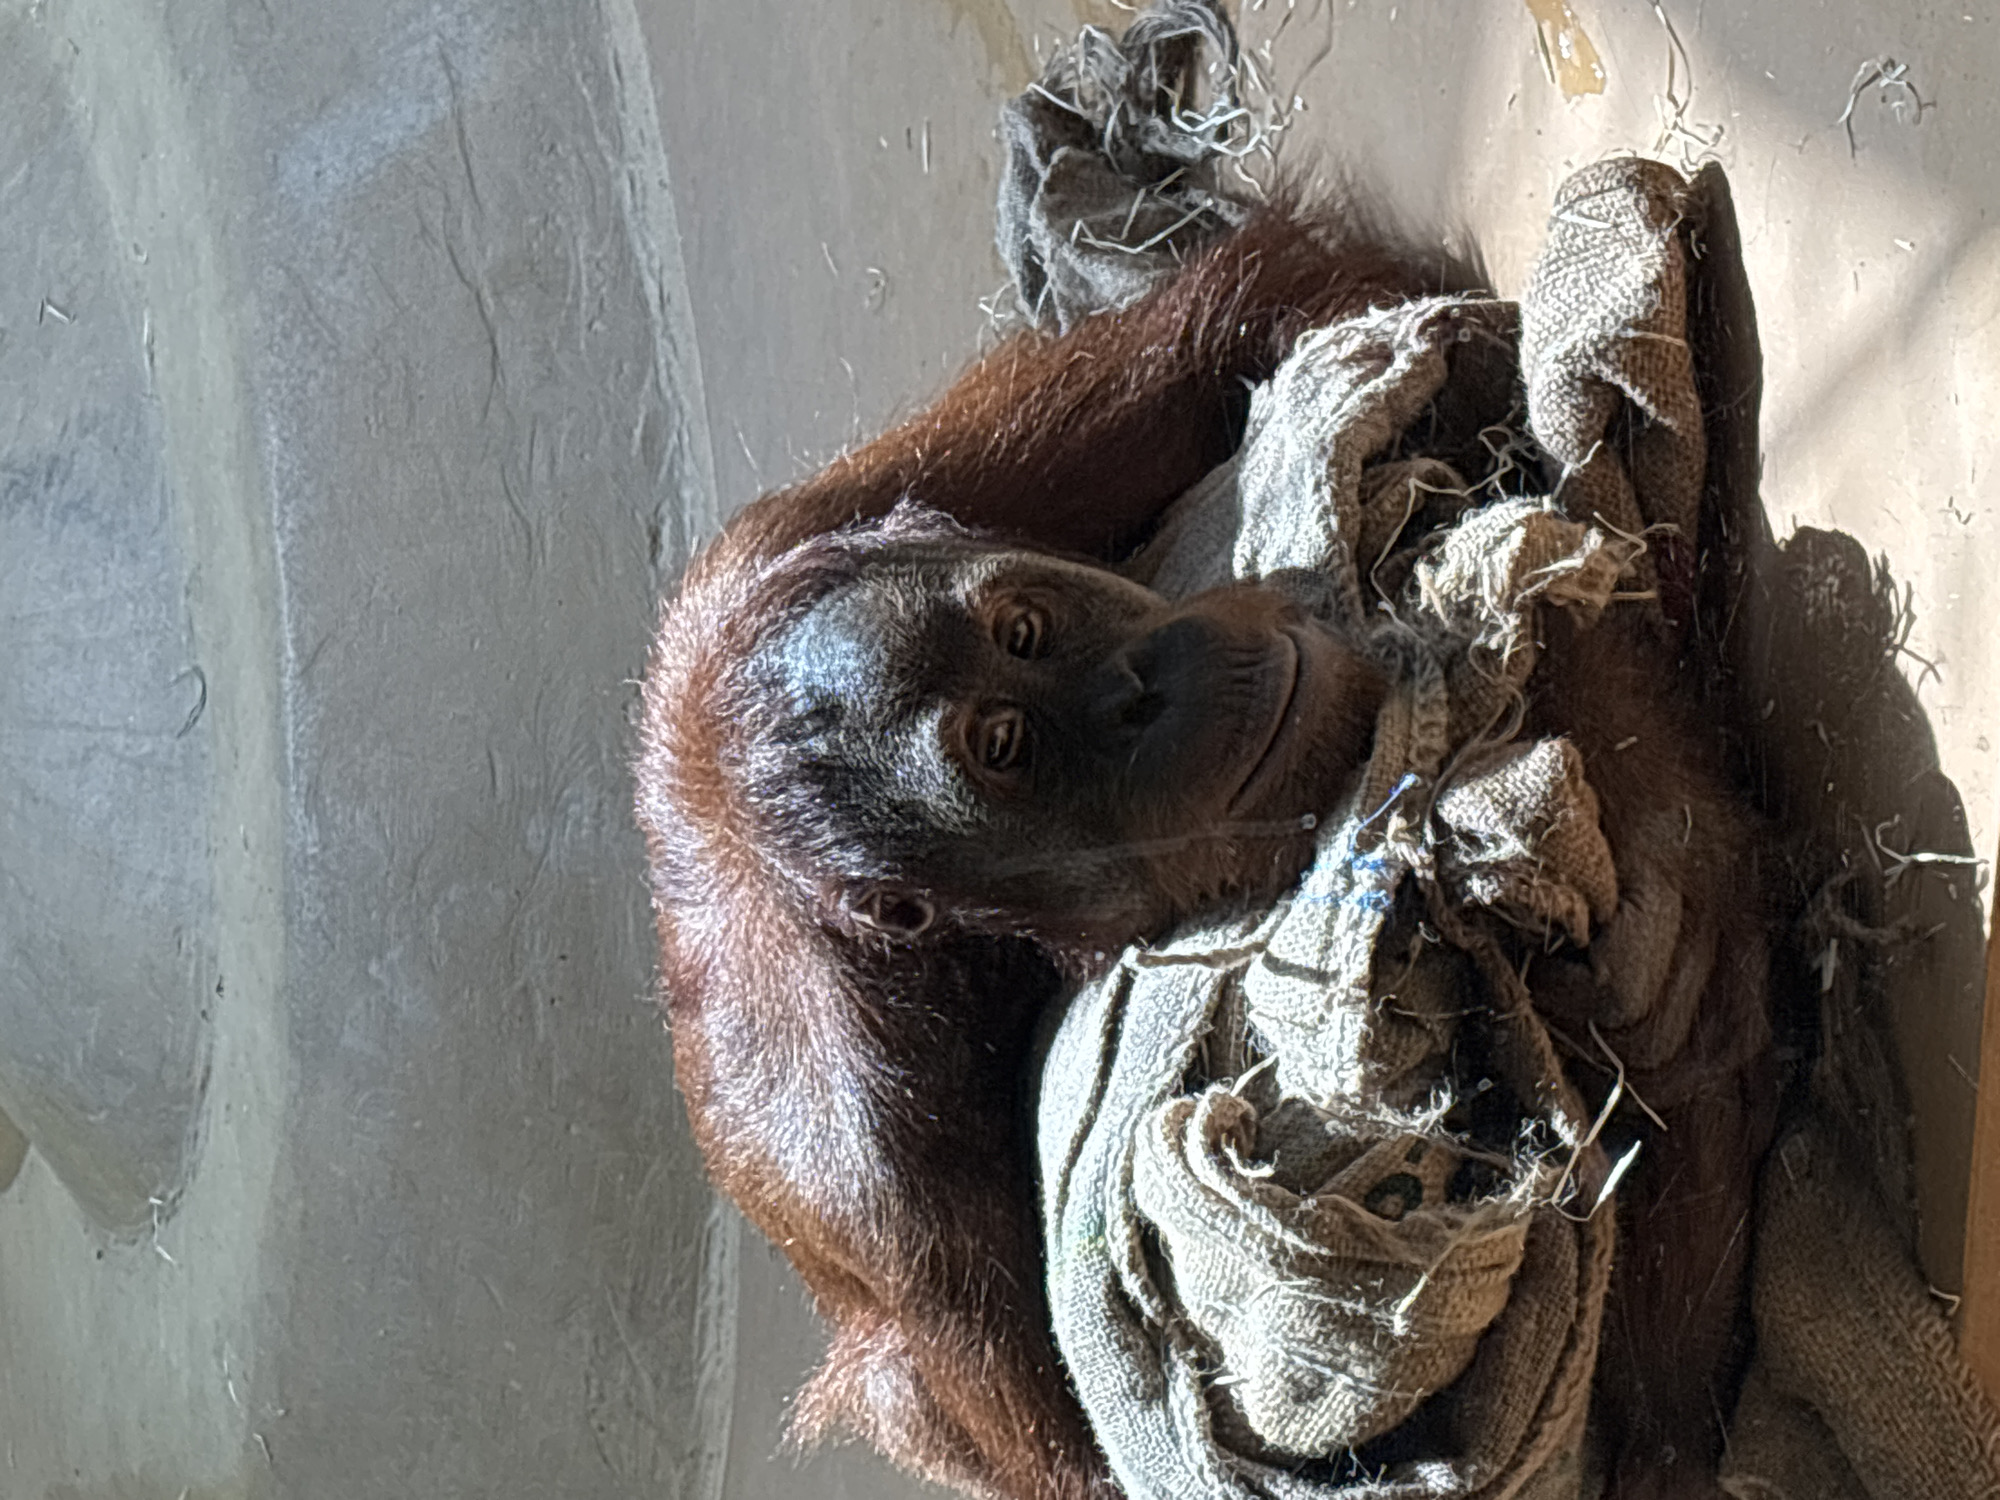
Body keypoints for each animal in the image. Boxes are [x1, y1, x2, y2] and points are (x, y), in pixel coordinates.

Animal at [635, 200, 1776, 1500]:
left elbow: (1282, 313)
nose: (1137, 688)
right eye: (1007, 745)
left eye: (1021, 630)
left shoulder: (851, 515)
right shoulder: (887, 1204)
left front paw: (1661, 852)